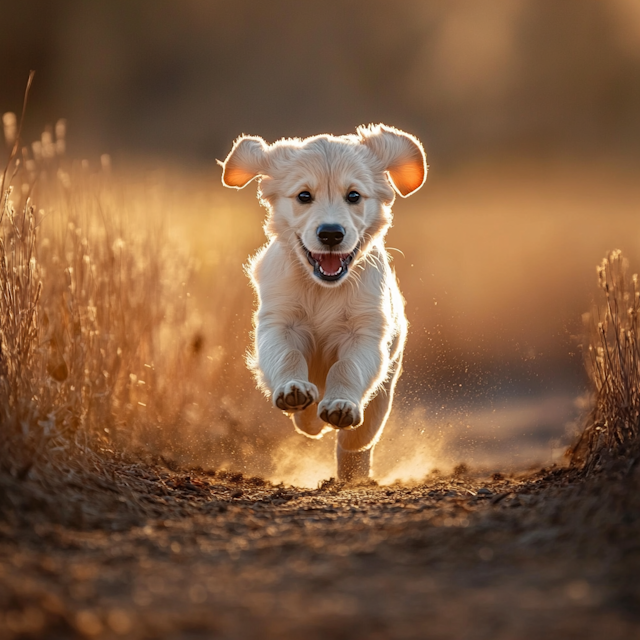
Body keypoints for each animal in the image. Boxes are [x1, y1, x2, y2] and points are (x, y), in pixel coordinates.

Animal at [220, 124, 424, 480]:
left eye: (353, 196)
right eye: (304, 196)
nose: (330, 233)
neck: (322, 289)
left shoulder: (365, 334)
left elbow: (347, 367)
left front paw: (341, 405)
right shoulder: (278, 324)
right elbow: (287, 356)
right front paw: (293, 390)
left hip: (381, 399)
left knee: (356, 443)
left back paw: (353, 474)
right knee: (310, 424)